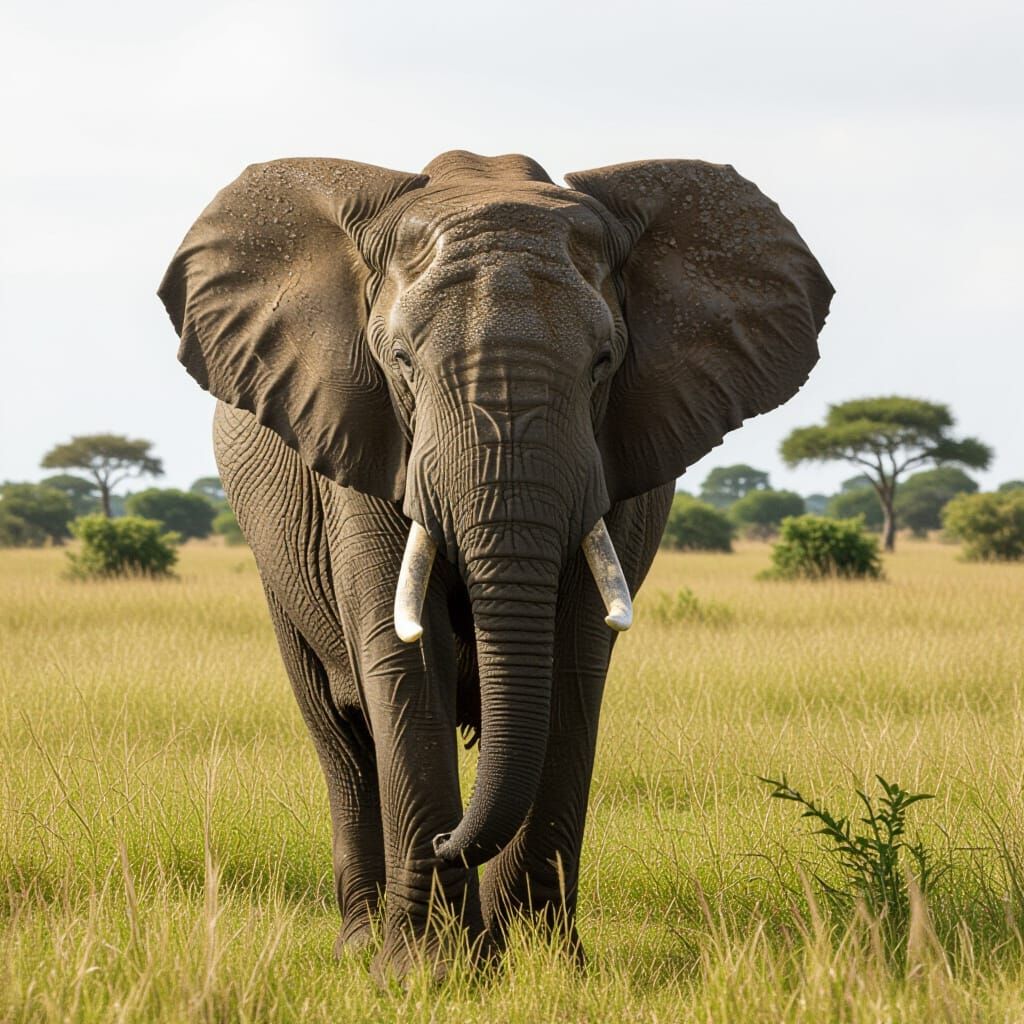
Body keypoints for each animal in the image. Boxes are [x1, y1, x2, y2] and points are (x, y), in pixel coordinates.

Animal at [159, 150, 832, 977]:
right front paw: (425, 975)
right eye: (402, 363)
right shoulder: (364, 440)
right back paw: (362, 943)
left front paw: (548, 971)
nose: (447, 842)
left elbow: (572, 663)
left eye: (603, 363)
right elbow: (403, 661)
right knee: (341, 736)